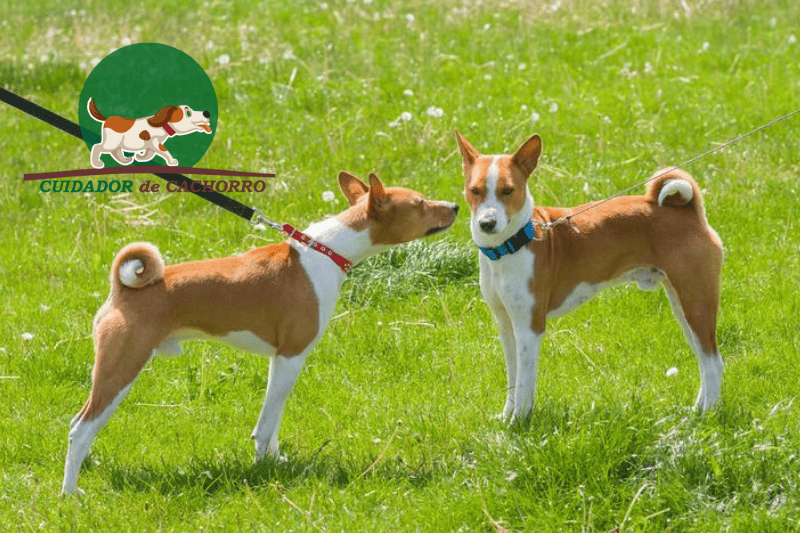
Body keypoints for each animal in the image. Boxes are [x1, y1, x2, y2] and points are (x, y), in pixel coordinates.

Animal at [62, 172, 460, 492]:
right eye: (420, 203)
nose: (456, 205)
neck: (327, 252)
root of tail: (122, 290)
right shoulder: (290, 357)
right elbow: (267, 424)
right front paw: (264, 468)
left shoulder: (281, 361)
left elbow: (276, 421)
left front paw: (275, 461)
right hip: (121, 368)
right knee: (80, 428)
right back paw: (70, 493)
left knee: (81, 425)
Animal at [456, 133, 724, 424]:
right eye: (475, 191)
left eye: (507, 190)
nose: (487, 223)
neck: (510, 246)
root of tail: (689, 212)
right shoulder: (507, 326)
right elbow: (512, 380)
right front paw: (507, 417)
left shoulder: (529, 327)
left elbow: (525, 383)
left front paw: (519, 422)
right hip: (682, 305)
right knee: (703, 359)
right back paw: (697, 410)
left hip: (696, 303)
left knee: (713, 362)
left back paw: (708, 415)